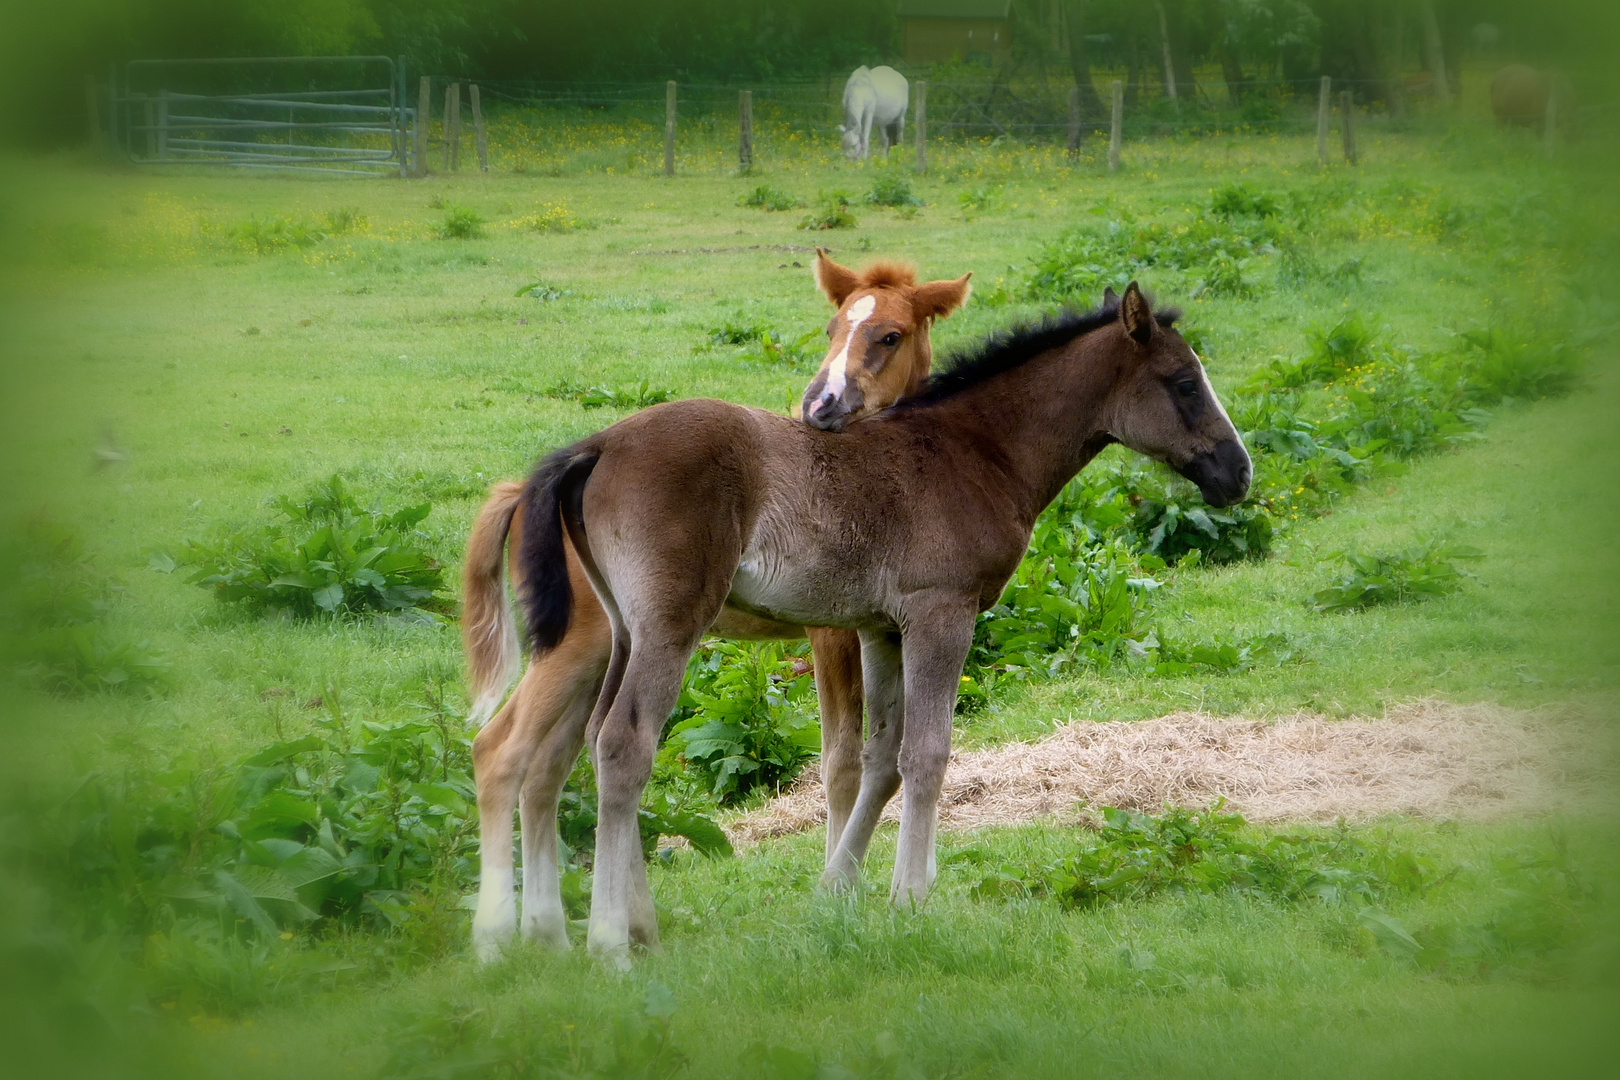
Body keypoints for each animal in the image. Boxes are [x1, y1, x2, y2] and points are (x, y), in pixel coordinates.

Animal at [469, 249, 972, 958]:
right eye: (831, 327)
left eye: (891, 335)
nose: (821, 406)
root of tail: (536, 485)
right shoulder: (833, 633)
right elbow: (843, 763)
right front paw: (841, 886)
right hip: (577, 646)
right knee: (504, 753)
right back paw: (505, 939)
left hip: (602, 651)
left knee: (549, 767)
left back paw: (558, 934)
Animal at [518, 281, 1250, 965]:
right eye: (1185, 383)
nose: (1238, 472)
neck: (976, 452)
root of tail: (599, 445)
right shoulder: (940, 612)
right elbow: (926, 752)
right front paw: (910, 898)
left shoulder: (880, 628)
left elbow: (880, 757)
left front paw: (837, 889)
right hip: (671, 627)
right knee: (624, 746)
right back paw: (609, 941)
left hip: (625, 631)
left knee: (587, 741)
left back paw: (610, 928)